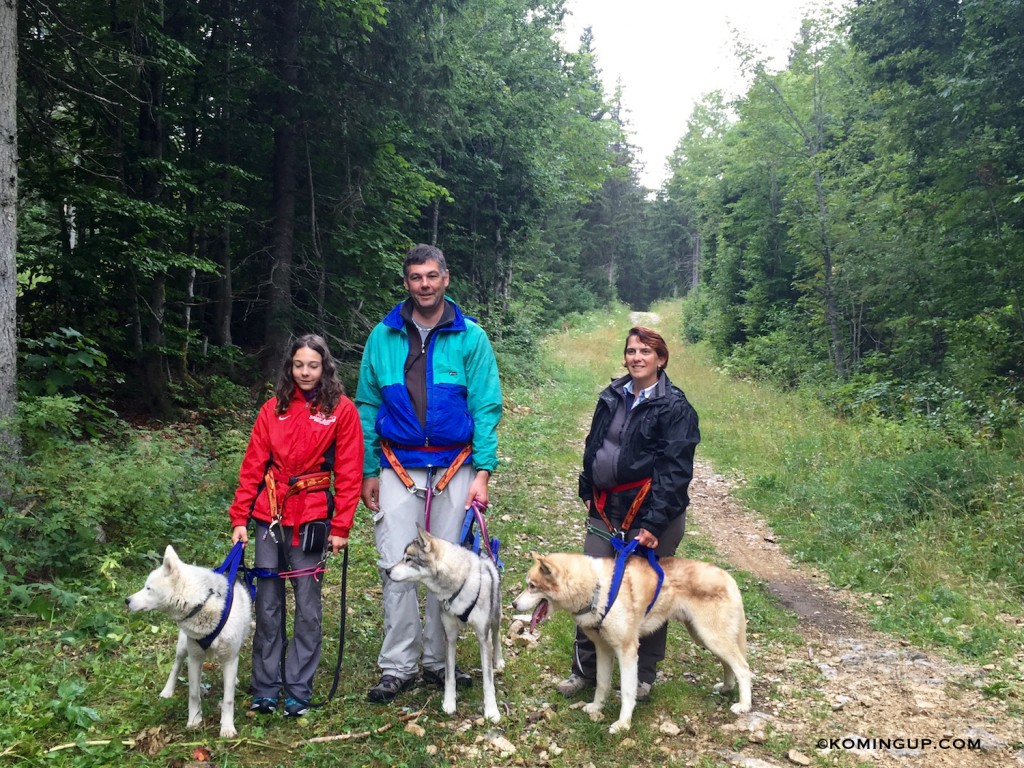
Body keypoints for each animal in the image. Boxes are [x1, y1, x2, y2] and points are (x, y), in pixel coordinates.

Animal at [125, 544, 251, 741]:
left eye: (148, 588)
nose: (127, 600)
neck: (202, 604)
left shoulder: (230, 658)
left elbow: (228, 698)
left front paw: (227, 727)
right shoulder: (194, 658)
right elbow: (193, 694)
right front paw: (194, 720)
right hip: (183, 648)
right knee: (176, 667)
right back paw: (168, 691)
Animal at [387, 528, 503, 724]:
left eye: (408, 559)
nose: (387, 571)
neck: (459, 586)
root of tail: (485, 556)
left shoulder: (483, 637)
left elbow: (488, 682)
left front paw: (492, 711)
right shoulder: (449, 636)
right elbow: (449, 677)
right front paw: (449, 703)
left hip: (494, 618)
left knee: (496, 636)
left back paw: (499, 660)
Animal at [512, 552, 753, 733]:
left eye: (532, 586)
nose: (513, 604)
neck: (597, 590)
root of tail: (727, 577)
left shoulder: (627, 651)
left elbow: (628, 692)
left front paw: (623, 724)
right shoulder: (603, 649)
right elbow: (602, 684)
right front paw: (596, 707)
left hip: (711, 636)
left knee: (742, 667)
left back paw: (743, 705)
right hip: (703, 636)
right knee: (728, 664)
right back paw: (726, 688)